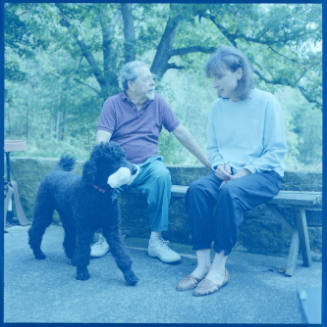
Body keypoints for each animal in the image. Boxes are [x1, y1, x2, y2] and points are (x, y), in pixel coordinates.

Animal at [28, 142, 140, 286]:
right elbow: (83, 250)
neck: (99, 194)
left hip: (69, 219)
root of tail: (56, 171)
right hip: (44, 212)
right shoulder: (85, 228)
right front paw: (82, 272)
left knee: (68, 239)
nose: (134, 169)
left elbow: (121, 253)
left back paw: (72, 258)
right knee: (35, 232)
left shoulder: (112, 228)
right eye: (113, 159)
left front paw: (130, 275)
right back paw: (38, 253)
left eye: (124, 156)